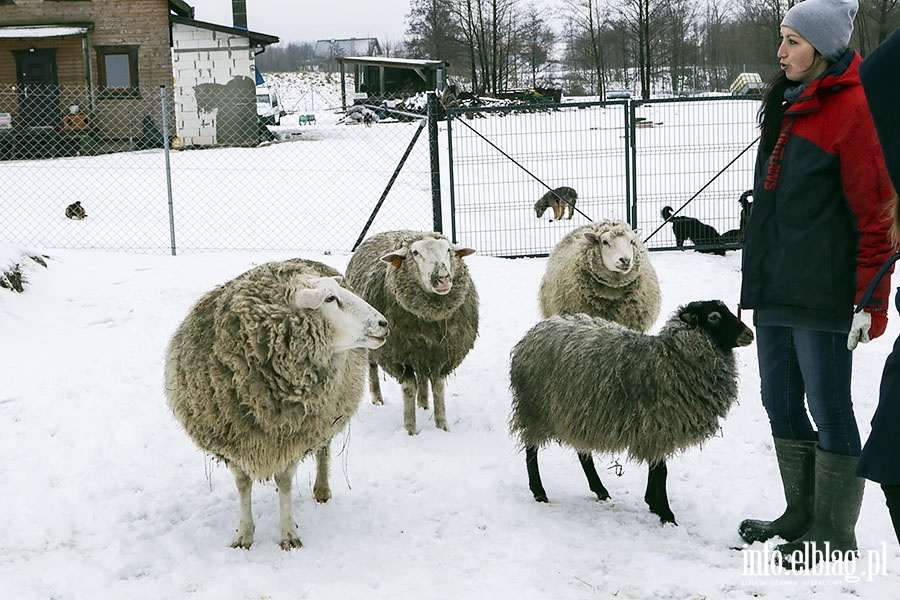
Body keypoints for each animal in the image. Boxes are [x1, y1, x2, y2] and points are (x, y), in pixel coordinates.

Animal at [165, 258, 390, 548]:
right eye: (330, 298)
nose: (383, 323)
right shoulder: (233, 440)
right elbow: (243, 485)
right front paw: (245, 535)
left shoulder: (292, 437)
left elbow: (284, 482)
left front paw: (288, 535)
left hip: (327, 416)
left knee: (323, 450)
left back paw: (322, 489)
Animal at [344, 227, 482, 434]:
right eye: (415, 253)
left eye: (448, 250)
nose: (443, 278)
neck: (429, 319)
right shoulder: (398, 356)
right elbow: (409, 388)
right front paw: (410, 429)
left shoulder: (442, 354)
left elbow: (438, 388)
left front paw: (442, 426)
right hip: (371, 336)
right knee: (372, 367)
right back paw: (378, 399)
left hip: (421, 352)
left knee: (423, 378)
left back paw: (423, 405)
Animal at [510, 300, 756, 524]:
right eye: (714, 317)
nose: (749, 334)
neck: (671, 357)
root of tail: (534, 332)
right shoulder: (657, 426)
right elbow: (661, 471)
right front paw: (666, 514)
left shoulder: (654, 428)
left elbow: (656, 468)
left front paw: (653, 504)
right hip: (536, 408)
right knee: (531, 450)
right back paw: (539, 491)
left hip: (579, 411)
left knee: (582, 452)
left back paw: (599, 489)